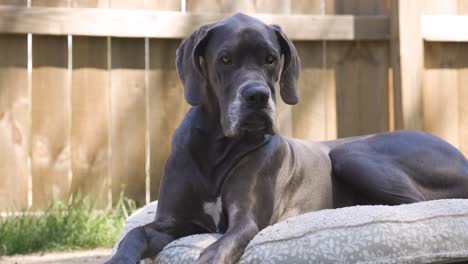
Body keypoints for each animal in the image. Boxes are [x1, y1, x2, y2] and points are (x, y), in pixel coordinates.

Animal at [106, 12, 468, 264]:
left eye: (271, 59)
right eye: (225, 59)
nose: (257, 96)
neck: (216, 147)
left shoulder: (244, 221)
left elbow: (220, 247)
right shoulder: (172, 222)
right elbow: (133, 235)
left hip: (351, 155)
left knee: (420, 206)